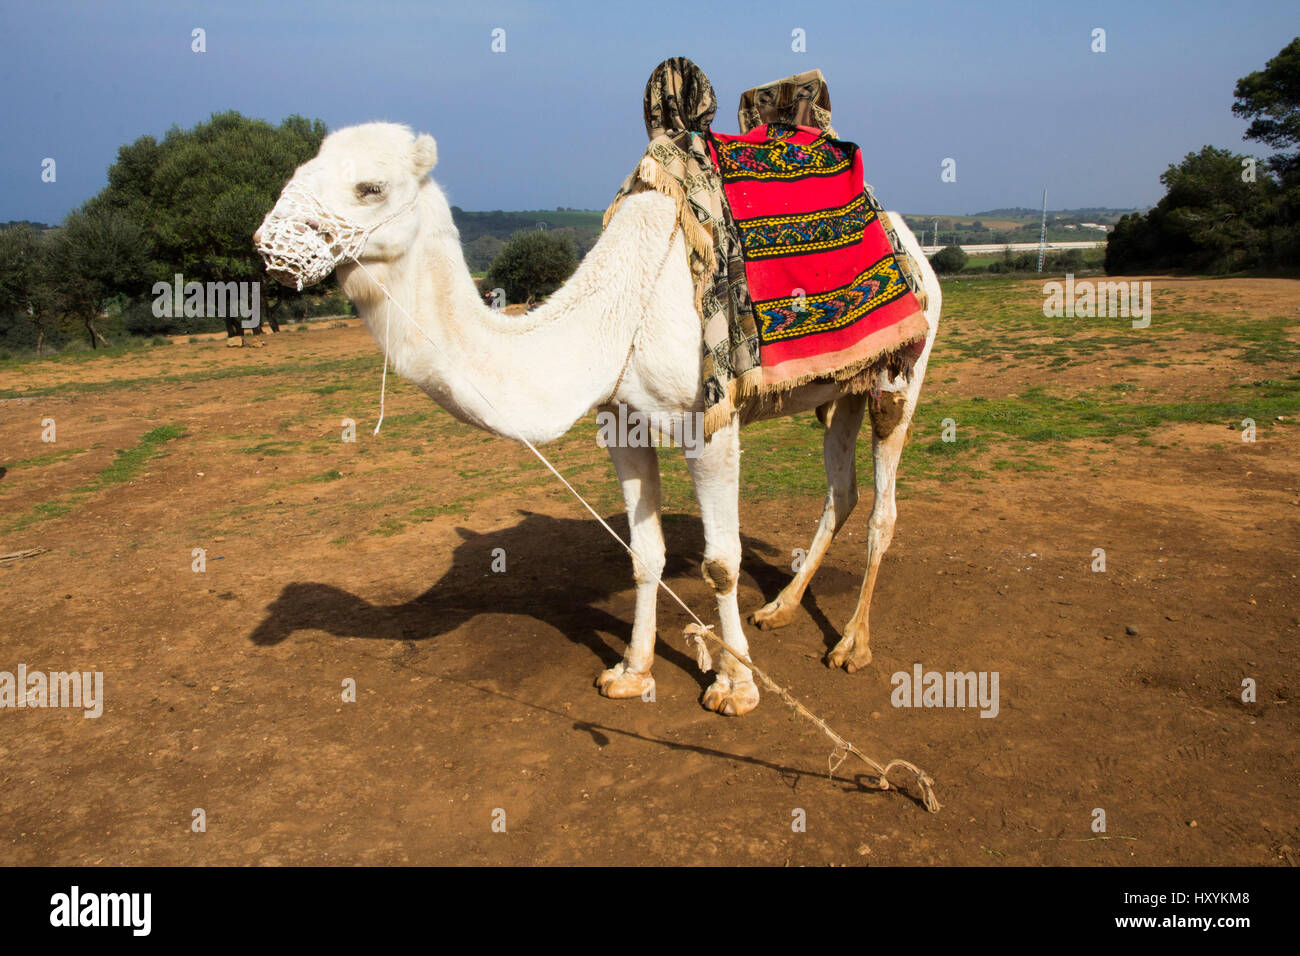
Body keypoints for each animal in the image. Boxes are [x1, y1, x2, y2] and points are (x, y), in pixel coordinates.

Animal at [256, 121, 946, 717]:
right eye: (300, 169)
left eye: (369, 187)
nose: (270, 244)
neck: (616, 311)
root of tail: (909, 240)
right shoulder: (622, 421)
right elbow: (643, 553)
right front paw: (631, 671)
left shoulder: (711, 424)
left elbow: (721, 562)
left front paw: (736, 686)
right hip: (844, 387)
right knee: (841, 490)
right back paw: (779, 608)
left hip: (903, 372)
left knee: (883, 508)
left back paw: (852, 643)